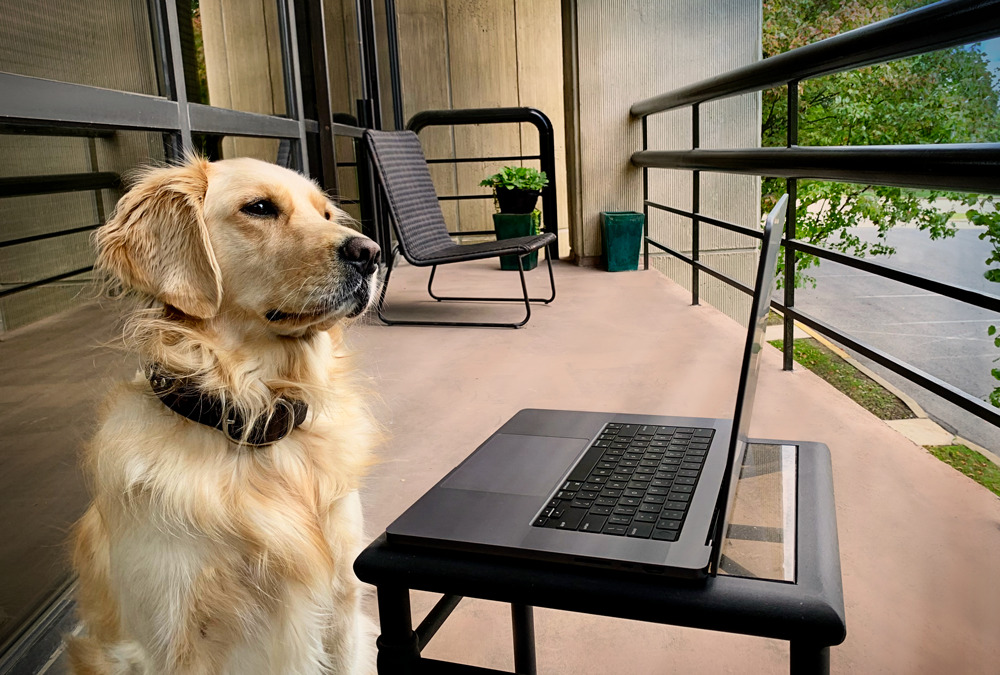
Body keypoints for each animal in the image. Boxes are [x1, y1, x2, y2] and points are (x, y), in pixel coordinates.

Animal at [65, 157, 378, 675]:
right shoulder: (174, 642)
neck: (255, 419)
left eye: (327, 215)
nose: (370, 253)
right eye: (259, 208)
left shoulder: (344, 611)